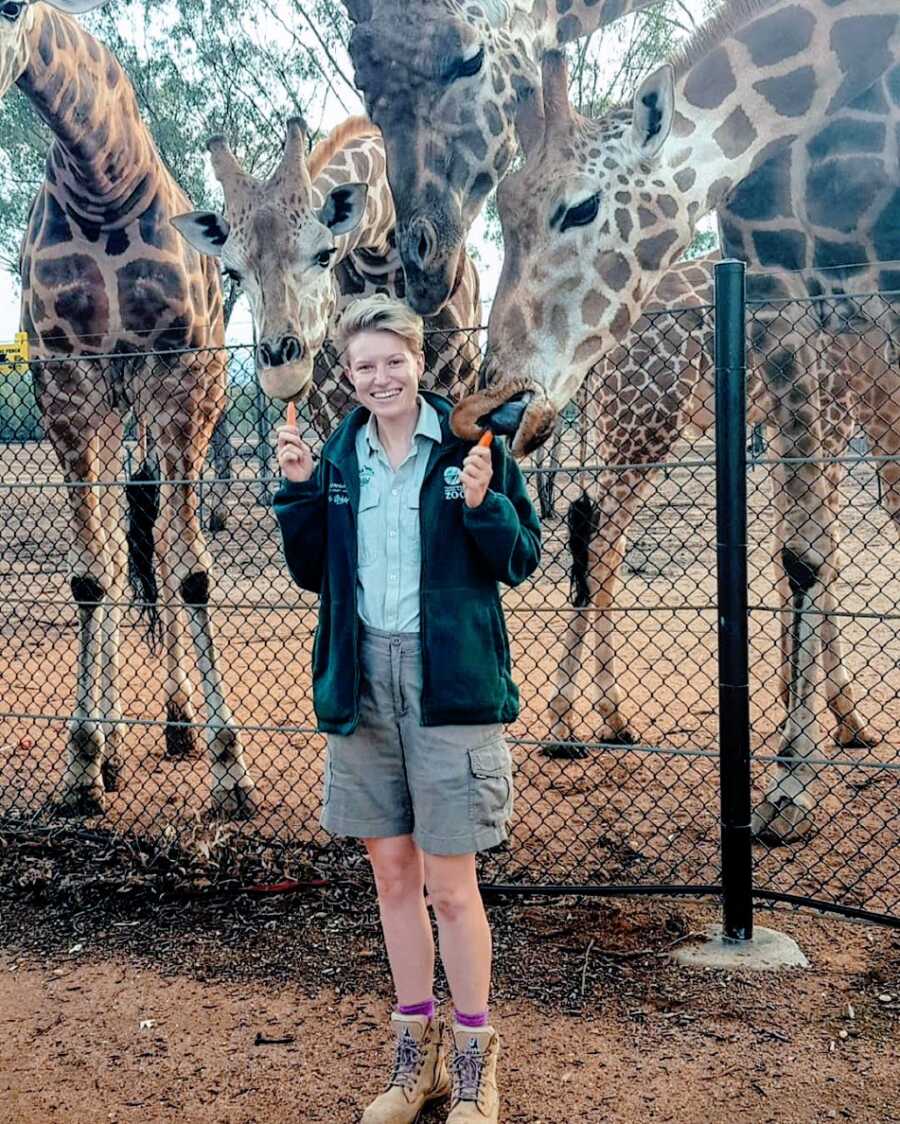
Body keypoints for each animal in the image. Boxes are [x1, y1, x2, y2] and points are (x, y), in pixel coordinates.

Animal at [10, 0, 255, 818]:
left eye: (11, 9)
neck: (101, 186)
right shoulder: (66, 380)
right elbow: (94, 575)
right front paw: (84, 763)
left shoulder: (179, 376)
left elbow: (192, 573)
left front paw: (231, 770)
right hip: (118, 411)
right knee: (125, 550)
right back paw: (122, 744)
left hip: (179, 401)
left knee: (165, 544)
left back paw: (180, 725)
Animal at [170, 114, 480, 436]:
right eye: (233, 273)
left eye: (324, 254)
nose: (282, 375)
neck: (381, 246)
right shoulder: (330, 397)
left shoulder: (450, 378)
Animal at [456, 2, 898, 836]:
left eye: (580, 206)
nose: (502, 395)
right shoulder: (832, 397)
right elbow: (816, 551)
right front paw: (816, 745)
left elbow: (809, 551)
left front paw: (829, 725)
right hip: (642, 424)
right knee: (600, 539)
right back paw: (574, 722)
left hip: (623, 425)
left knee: (597, 535)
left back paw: (602, 717)